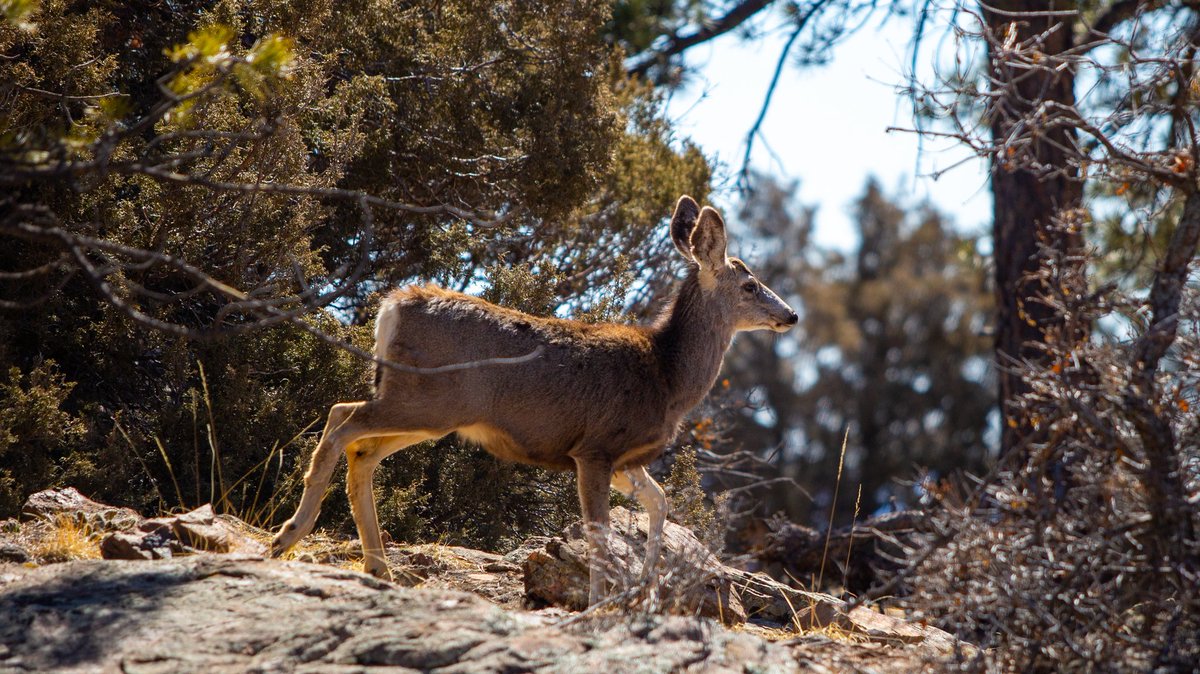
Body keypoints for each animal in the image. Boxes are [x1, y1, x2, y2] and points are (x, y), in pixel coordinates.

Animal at [270, 195, 798, 606]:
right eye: (751, 285)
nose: (791, 315)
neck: (666, 376)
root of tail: (392, 306)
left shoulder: (626, 459)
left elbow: (661, 502)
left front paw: (646, 588)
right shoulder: (595, 447)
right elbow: (600, 535)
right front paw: (599, 602)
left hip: (429, 412)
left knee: (361, 446)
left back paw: (378, 567)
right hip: (423, 398)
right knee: (342, 417)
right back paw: (289, 534)